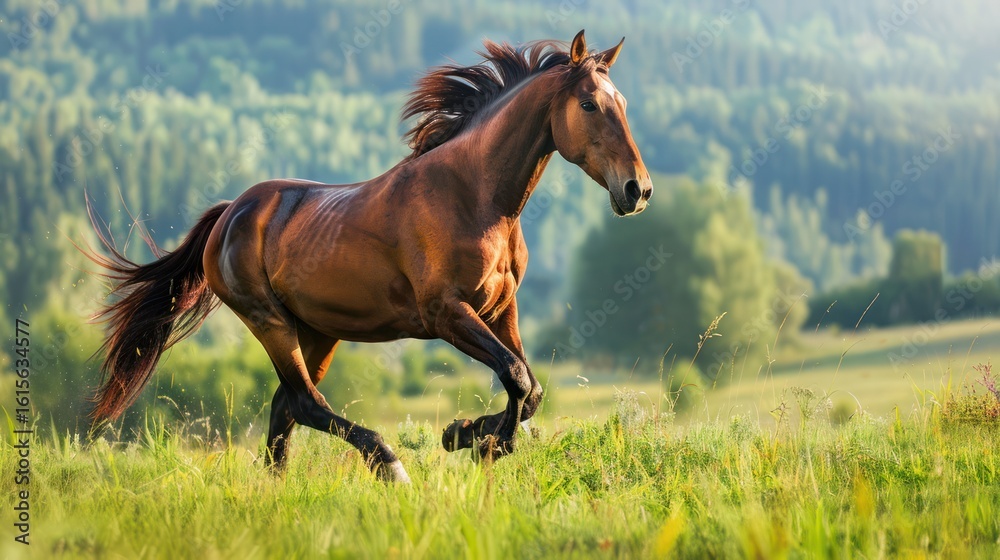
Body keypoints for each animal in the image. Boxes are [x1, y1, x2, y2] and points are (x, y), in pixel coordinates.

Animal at [86, 30, 653, 483]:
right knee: (305, 403)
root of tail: (230, 214)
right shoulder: (445, 313)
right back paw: (388, 464)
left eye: (624, 102)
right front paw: (474, 439)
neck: (475, 197)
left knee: (284, 408)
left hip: (317, 331)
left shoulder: (500, 309)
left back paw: (278, 489)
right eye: (588, 105)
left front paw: (468, 435)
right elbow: (516, 377)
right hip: (269, 320)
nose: (637, 190)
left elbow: (528, 388)